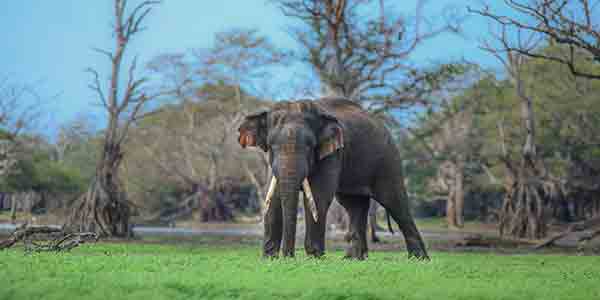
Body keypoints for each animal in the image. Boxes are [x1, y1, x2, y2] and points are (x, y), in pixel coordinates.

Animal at [237, 98, 428, 260]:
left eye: (310, 146)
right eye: (271, 146)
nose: (288, 257)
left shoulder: (332, 153)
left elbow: (318, 197)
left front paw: (314, 258)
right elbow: (274, 198)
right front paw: (269, 259)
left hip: (387, 159)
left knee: (395, 202)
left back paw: (419, 259)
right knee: (354, 205)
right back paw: (353, 259)